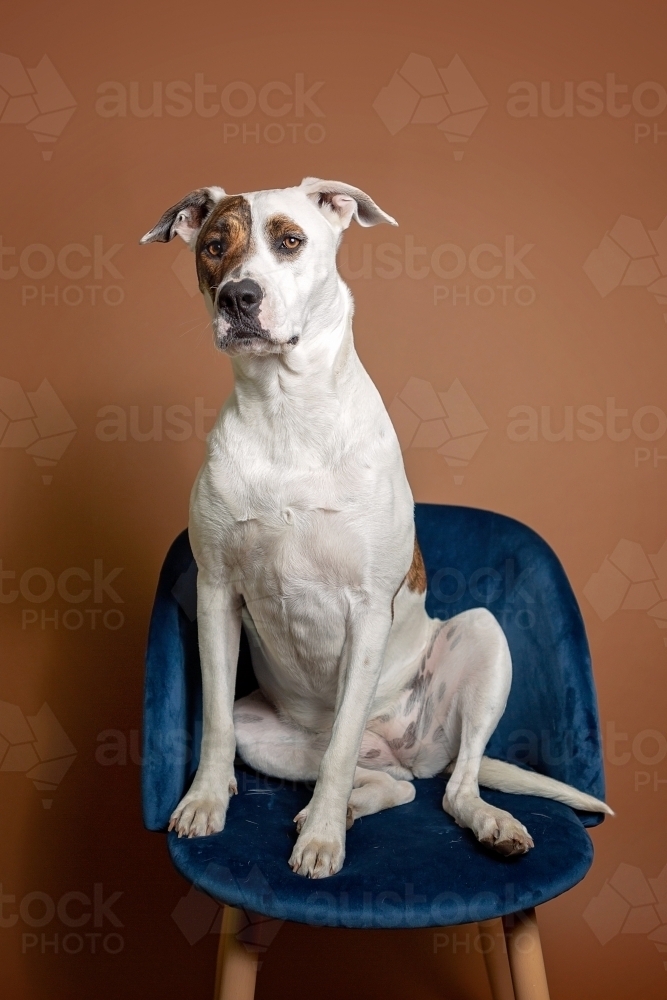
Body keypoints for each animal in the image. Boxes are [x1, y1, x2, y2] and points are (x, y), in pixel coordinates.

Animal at [144, 178, 612, 876]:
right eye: (213, 247)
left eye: (290, 241)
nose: (238, 297)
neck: (288, 410)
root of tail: (397, 749)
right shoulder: (216, 591)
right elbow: (217, 726)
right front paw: (206, 801)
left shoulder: (367, 608)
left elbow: (341, 746)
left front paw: (321, 842)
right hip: (273, 738)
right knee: (387, 784)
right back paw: (335, 805)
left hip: (481, 639)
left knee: (445, 782)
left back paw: (481, 821)